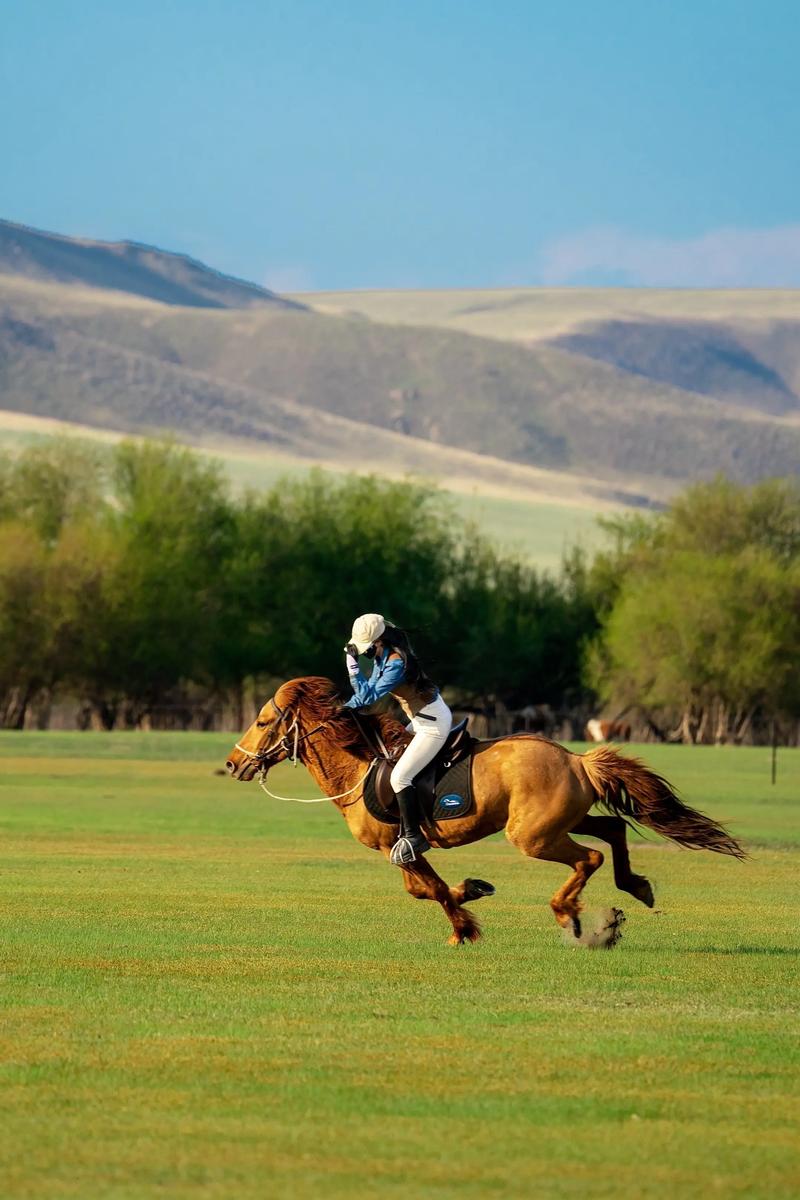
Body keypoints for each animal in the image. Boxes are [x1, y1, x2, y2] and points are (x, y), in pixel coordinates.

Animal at [225, 677, 745, 947]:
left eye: (263, 721)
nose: (232, 764)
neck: (357, 762)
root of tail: (577, 759)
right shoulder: (399, 849)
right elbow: (421, 888)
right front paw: (474, 889)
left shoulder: (404, 845)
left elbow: (432, 890)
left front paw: (463, 929)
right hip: (564, 819)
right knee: (614, 830)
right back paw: (635, 889)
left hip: (533, 836)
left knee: (589, 858)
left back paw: (570, 916)